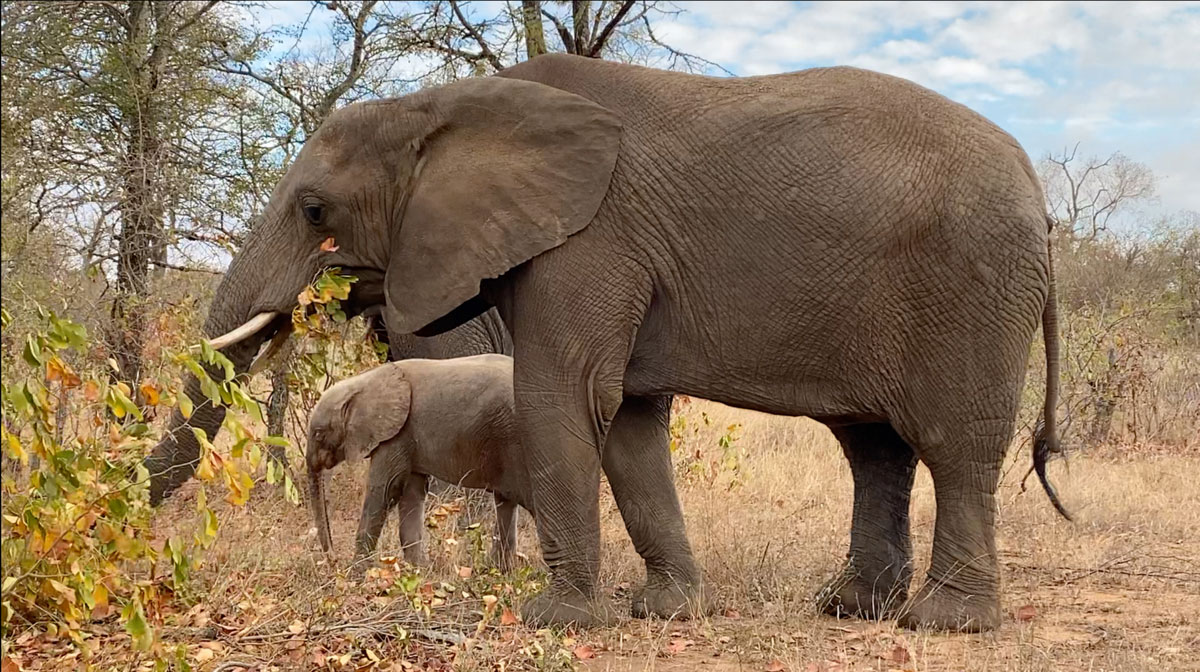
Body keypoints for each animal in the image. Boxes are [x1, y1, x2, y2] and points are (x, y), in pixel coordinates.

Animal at [305, 354, 530, 574]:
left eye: (318, 434)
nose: (333, 560)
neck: (364, 382)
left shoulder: (396, 435)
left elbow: (385, 491)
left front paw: (356, 576)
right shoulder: (406, 439)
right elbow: (411, 494)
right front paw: (418, 571)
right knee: (505, 501)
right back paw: (499, 572)